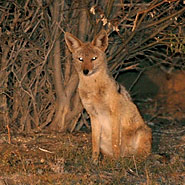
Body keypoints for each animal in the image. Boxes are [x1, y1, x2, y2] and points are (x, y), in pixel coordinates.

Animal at [64, 29, 152, 164]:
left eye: (93, 59)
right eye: (81, 59)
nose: (86, 71)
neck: (93, 89)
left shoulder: (114, 115)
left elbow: (115, 141)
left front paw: (116, 163)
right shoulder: (94, 116)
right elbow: (94, 143)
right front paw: (94, 161)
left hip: (143, 133)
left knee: (138, 156)